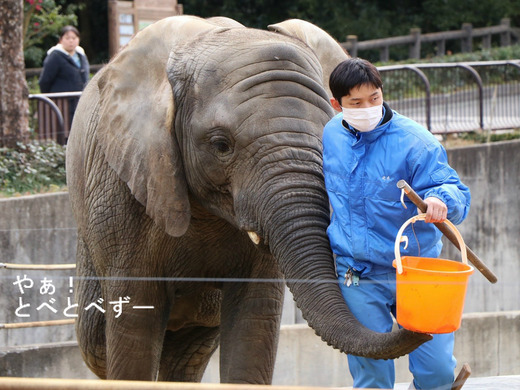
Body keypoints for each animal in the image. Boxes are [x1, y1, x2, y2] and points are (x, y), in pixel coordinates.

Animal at [65, 13, 430, 382]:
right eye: (221, 145)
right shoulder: (125, 192)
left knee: (187, 352)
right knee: (96, 340)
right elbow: (134, 326)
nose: (411, 314)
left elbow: (253, 323)